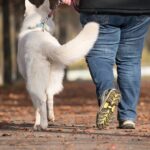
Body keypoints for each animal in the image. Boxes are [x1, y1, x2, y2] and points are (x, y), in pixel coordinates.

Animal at [17, 0, 99, 130]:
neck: (36, 28)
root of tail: (44, 44)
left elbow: (36, 107)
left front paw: (36, 123)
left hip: (34, 82)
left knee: (41, 100)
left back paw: (43, 124)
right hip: (54, 76)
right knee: (50, 96)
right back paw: (50, 117)